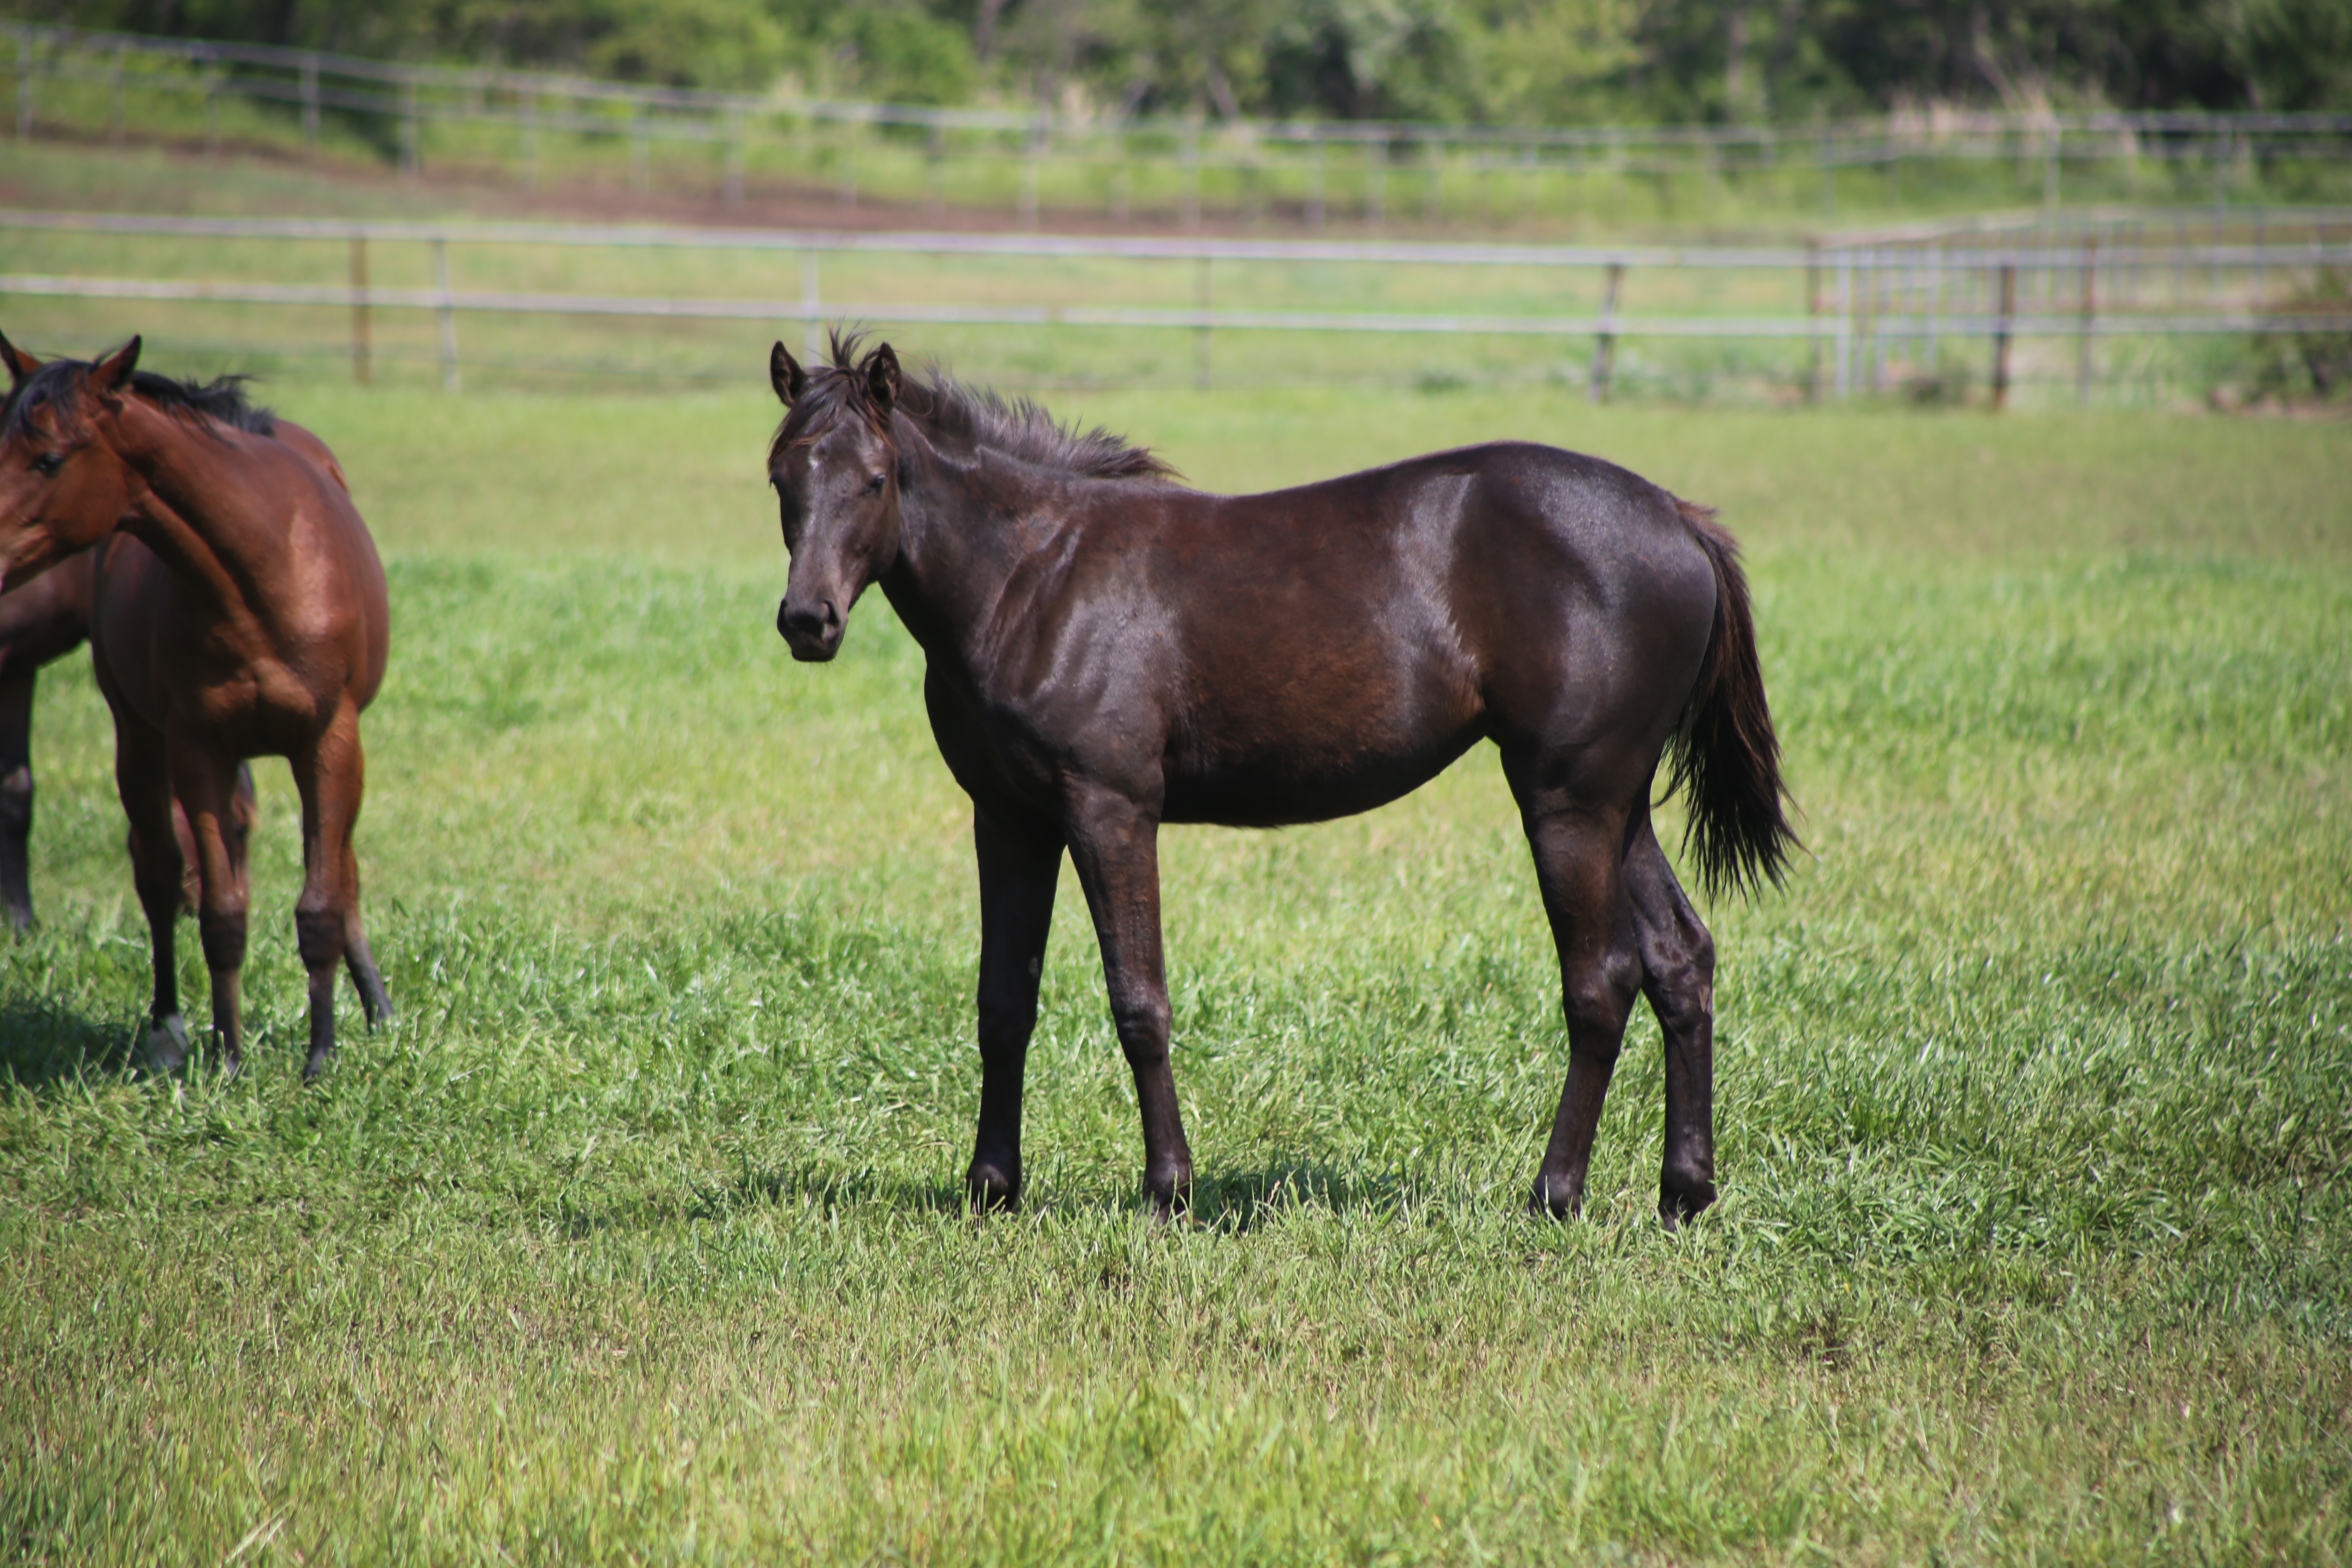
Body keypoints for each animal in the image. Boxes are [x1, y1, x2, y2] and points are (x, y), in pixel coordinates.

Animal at [771, 339, 1797, 1222]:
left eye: (875, 479)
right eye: (783, 477)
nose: (807, 622)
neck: (1036, 577)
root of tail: (1678, 519)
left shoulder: (1110, 809)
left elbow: (1138, 1000)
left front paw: (1169, 1190)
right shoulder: (1009, 817)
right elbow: (1002, 1002)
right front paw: (990, 1187)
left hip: (1567, 801)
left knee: (1600, 980)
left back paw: (1555, 1192)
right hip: (1617, 805)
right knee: (1679, 958)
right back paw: (1683, 1194)